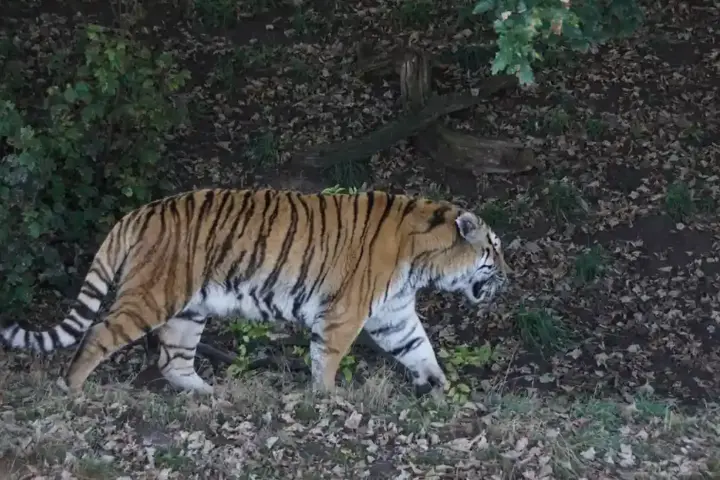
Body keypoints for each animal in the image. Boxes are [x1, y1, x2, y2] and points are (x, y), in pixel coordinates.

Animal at [1, 188, 510, 396]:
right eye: (495, 249)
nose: (509, 274)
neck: (424, 261)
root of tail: (140, 212)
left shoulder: (395, 313)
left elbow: (420, 348)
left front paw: (441, 387)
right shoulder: (344, 313)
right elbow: (327, 359)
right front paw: (327, 400)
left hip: (188, 309)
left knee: (173, 360)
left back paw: (209, 394)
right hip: (151, 296)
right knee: (99, 334)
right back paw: (71, 388)